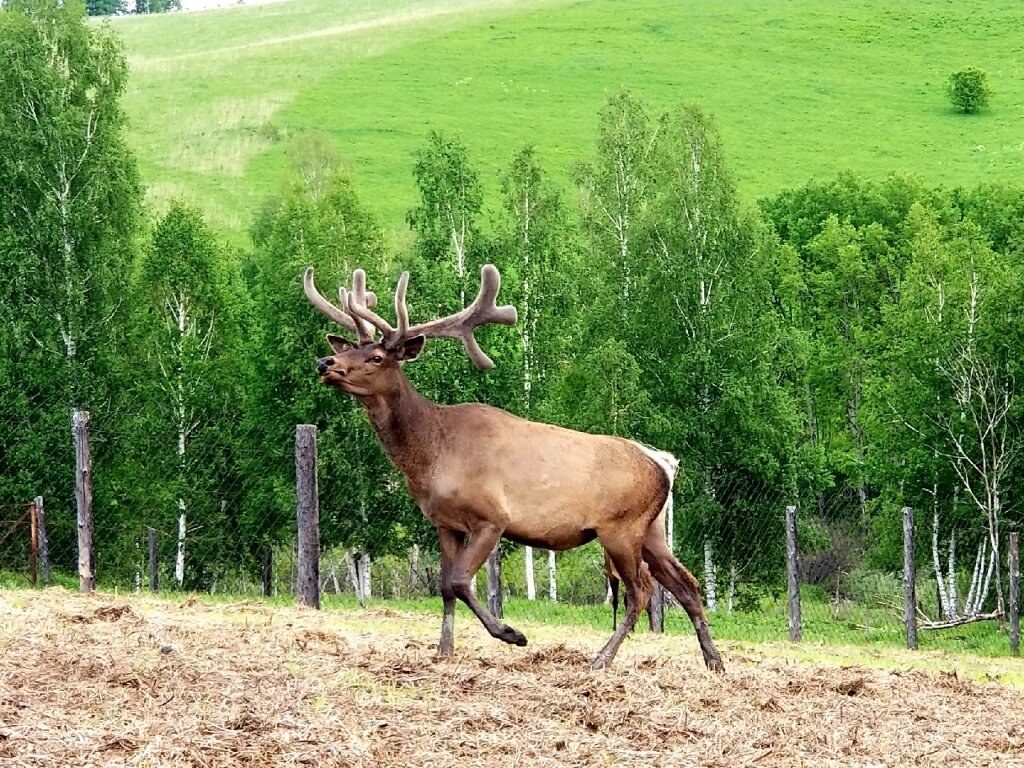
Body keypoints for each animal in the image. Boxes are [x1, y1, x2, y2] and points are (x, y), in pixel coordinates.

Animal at [305, 262, 729, 671]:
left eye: (376, 358)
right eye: (351, 348)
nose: (325, 361)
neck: (430, 455)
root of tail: (664, 463)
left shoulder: (491, 517)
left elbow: (460, 581)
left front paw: (512, 634)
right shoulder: (444, 522)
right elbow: (444, 587)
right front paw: (443, 651)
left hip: (621, 527)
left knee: (640, 590)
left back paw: (601, 659)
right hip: (652, 529)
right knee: (687, 584)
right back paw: (714, 660)